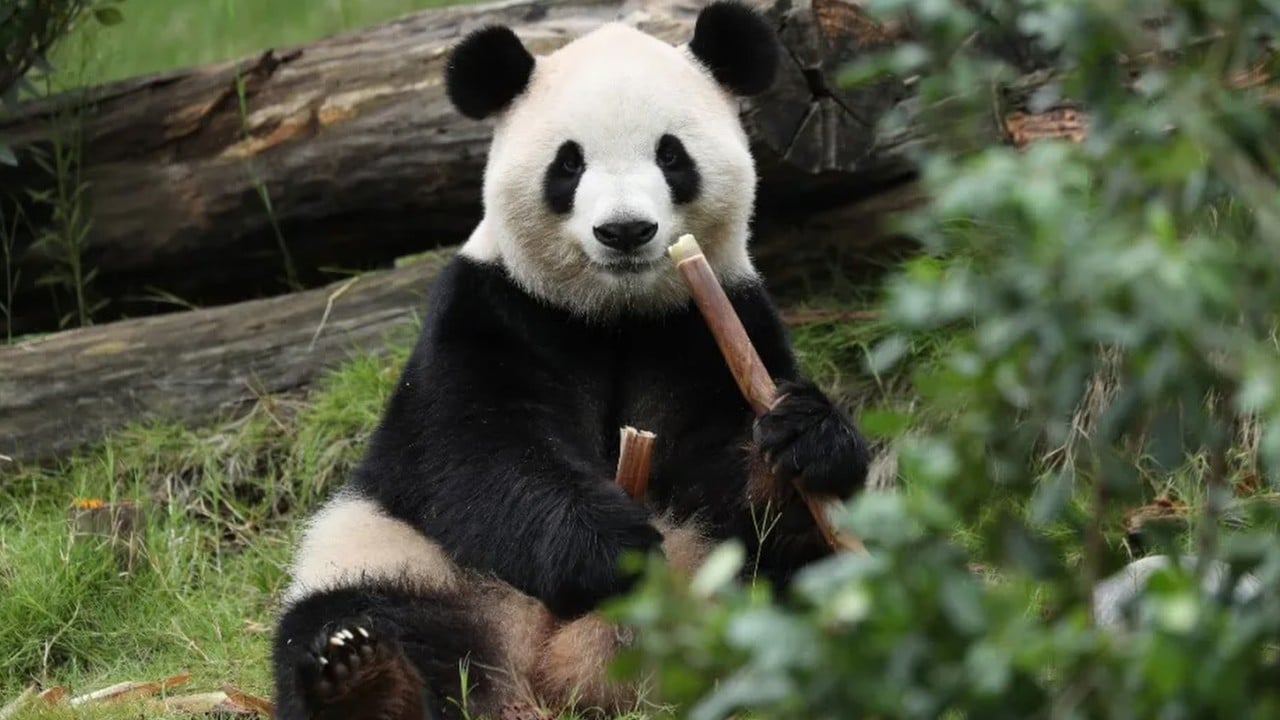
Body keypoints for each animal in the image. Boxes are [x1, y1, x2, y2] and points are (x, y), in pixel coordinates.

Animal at [270, 3, 872, 719]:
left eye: (671, 154)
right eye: (568, 164)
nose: (625, 231)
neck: (614, 313)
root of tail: (550, 674)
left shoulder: (709, 321)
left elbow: (727, 470)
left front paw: (804, 436)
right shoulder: (491, 308)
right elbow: (475, 449)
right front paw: (609, 548)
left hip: (716, 579)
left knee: (799, 582)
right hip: (400, 553)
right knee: (360, 614)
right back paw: (364, 677)